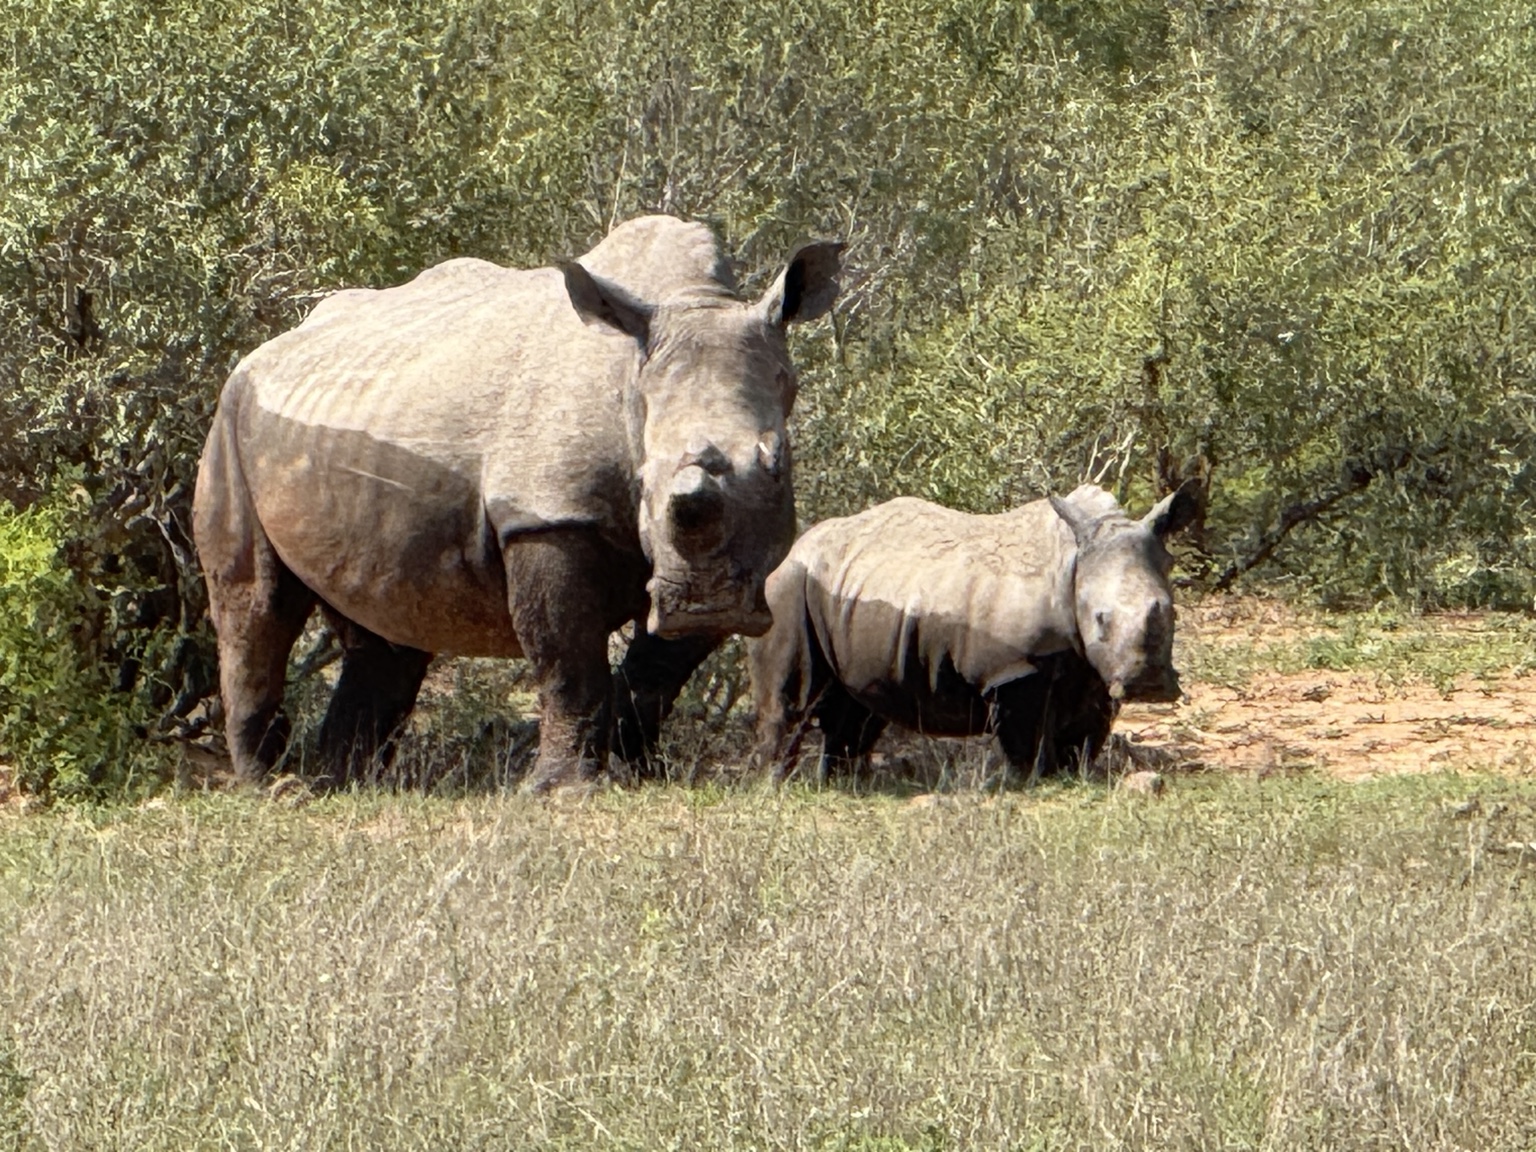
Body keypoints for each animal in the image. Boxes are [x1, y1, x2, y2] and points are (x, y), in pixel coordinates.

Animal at [192, 215, 842, 791]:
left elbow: (654, 673)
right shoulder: (546, 515)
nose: (708, 604)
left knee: (384, 621)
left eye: (777, 467)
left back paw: (345, 785)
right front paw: (563, 791)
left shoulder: (732, 565)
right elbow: (568, 663)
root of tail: (268, 348)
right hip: (232, 418)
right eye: (646, 476)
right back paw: (275, 789)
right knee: (257, 606)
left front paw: (639, 774)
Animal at [749, 482, 1198, 784]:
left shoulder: (1091, 670)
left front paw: (1074, 774)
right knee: (792, 690)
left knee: (858, 703)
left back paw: (842, 783)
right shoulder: (1012, 668)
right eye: (1101, 619)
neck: (1073, 561)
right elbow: (1028, 734)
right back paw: (777, 783)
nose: (1149, 685)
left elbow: (1087, 728)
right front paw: (1036, 779)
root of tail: (796, 545)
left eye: (1172, 612)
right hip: (790, 586)